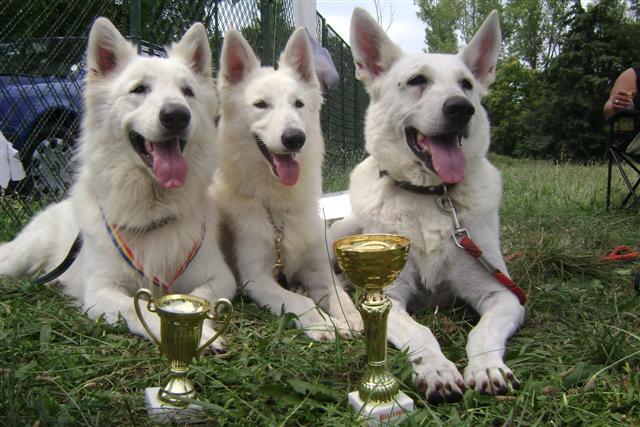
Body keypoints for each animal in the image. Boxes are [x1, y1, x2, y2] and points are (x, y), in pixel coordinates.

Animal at [0, 18, 235, 352]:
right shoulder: (101, 291)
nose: (177, 115)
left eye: (187, 91)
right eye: (139, 89)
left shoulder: (220, 276)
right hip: (22, 256)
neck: (153, 208)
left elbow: (197, 297)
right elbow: (139, 310)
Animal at [212, 27, 362, 342]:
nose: (295, 138)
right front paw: (323, 324)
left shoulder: (317, 267)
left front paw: (348, 317)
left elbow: (337, 293)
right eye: (261, 105)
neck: (278, 206)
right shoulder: (256, 279)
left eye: (298, 104)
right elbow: (298, 301)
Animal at [330, 9, 524, 404]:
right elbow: (421, 332)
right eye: (417, 81)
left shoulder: (504, 295)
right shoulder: (389, 295)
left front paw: (486, 367)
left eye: (466, 84)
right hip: (340, 231)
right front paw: (437, 370)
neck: (430, 195)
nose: (461, 109)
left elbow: (482, 332)